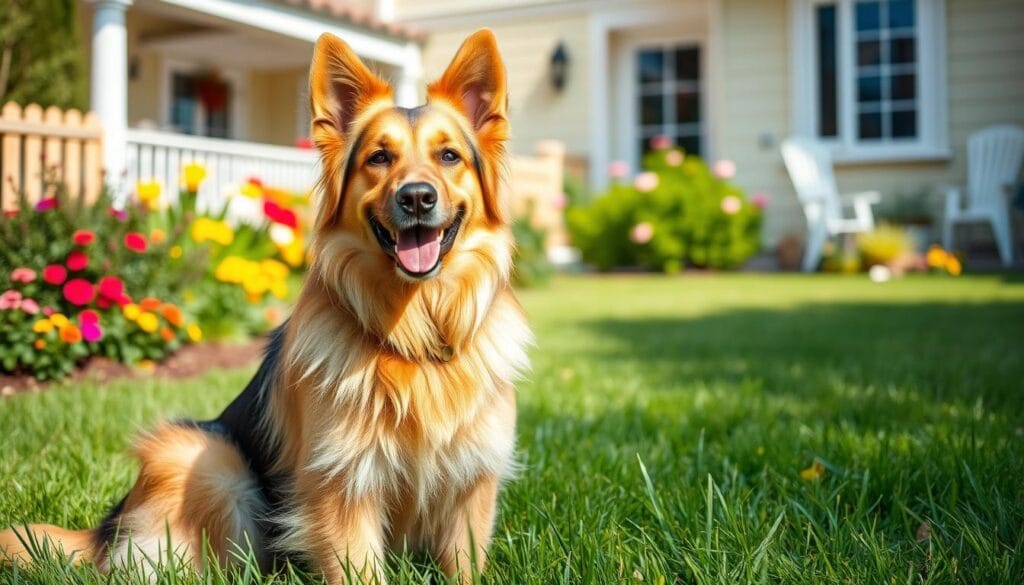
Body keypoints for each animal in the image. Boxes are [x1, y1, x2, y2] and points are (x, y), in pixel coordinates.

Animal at [6, 28, 536, 585]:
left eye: (449, 156)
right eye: (379, 158)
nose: (417, 198)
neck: (416, 334)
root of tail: (104, 531)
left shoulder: (472, 484)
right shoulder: (342, 484)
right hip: (201, 455)